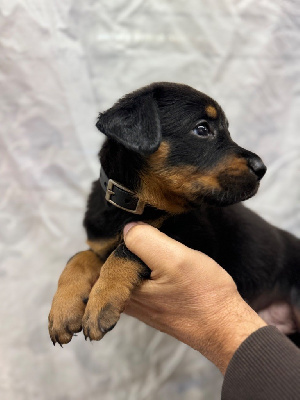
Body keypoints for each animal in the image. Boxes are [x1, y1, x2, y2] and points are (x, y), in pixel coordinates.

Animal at [47, 83, 300, 346]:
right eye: (202, 129)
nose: (262, 168)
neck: (139, 203)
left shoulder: (192, 237)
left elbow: (127, 250)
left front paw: (101, 304)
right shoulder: (101, 245)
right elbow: (79, 257)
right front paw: (62, 313)